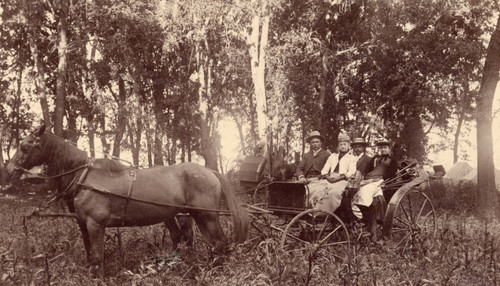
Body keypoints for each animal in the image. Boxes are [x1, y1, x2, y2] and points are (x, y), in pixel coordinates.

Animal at [6, 125, 249, 278]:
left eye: (25, 146)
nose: (8, 170)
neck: (84, 176)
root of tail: (210, 171)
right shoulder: (84, 224)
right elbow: (90, 253)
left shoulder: (96, 224)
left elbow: (98, 255)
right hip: (195, 215)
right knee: (207, 242)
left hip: (207, 215)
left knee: (219, 242)